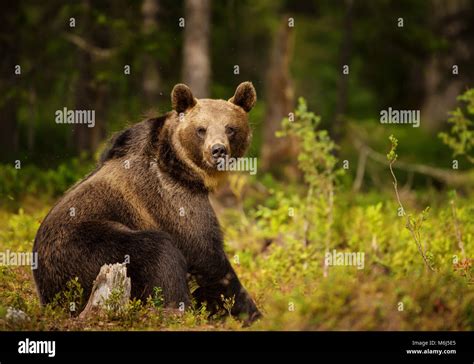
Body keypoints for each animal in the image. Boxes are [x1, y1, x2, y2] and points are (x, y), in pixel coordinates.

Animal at [32, 81, 262, 322]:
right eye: (201, 129)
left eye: (230, 128)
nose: (218, 150)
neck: (183, 170)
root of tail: (47, 297)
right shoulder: (172, 199)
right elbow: (206, 254)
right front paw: (250, 311)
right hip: (84, 249)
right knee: (156, 250)